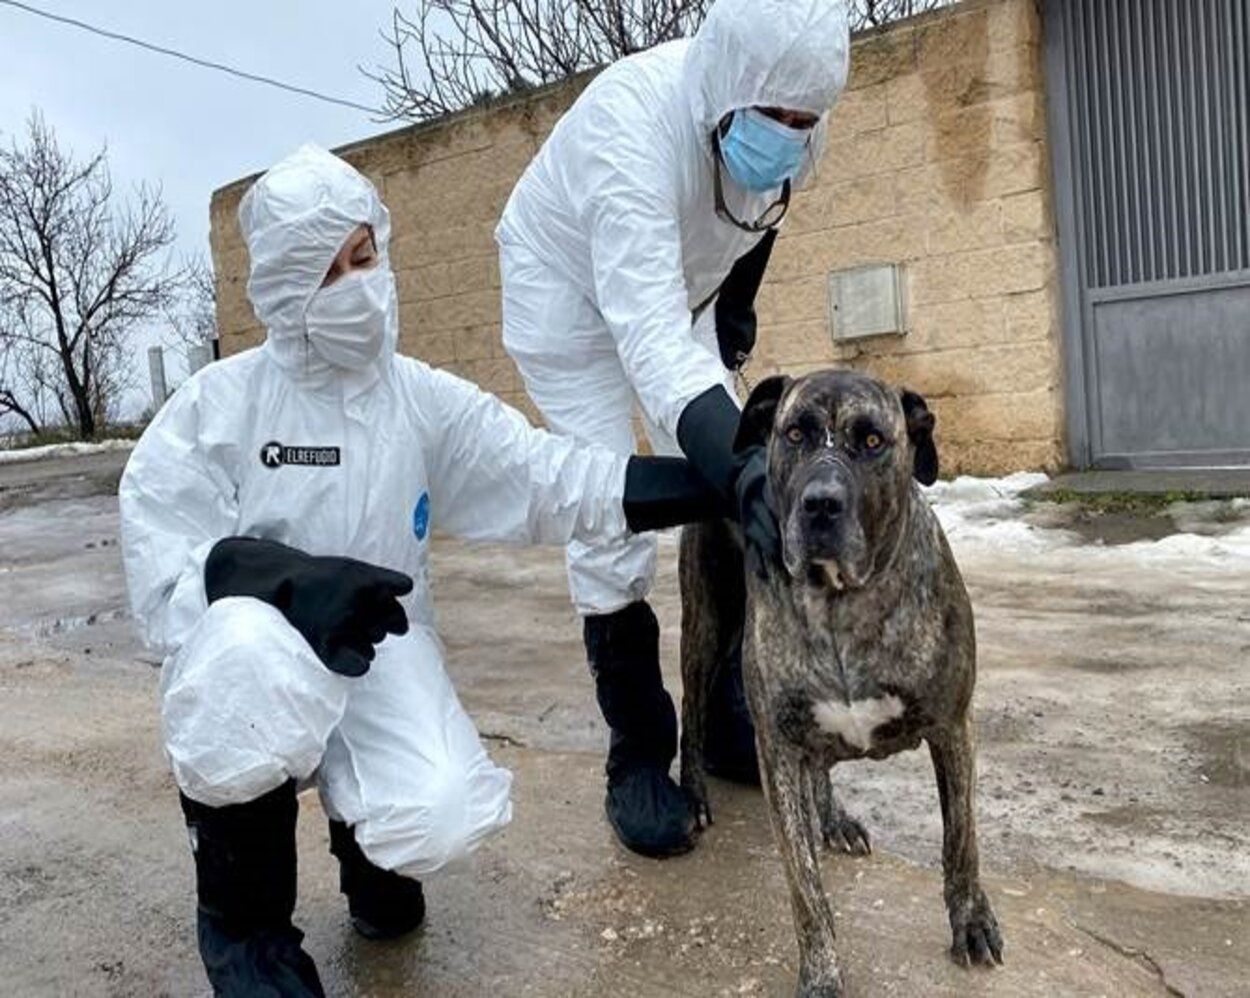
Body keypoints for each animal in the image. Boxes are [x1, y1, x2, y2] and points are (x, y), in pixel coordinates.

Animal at [680, 370, 1000, 995]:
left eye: (872, 441)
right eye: (795, 434)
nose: (820, 504)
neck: (840, 600)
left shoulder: (953, 726)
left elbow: (962, 840)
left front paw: (971, 922)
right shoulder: (777, 747)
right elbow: (805, 890)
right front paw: (822, 973)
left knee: (821, 767)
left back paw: (833, 819)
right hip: (704, 628)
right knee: (693, 715)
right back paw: (694, 794)